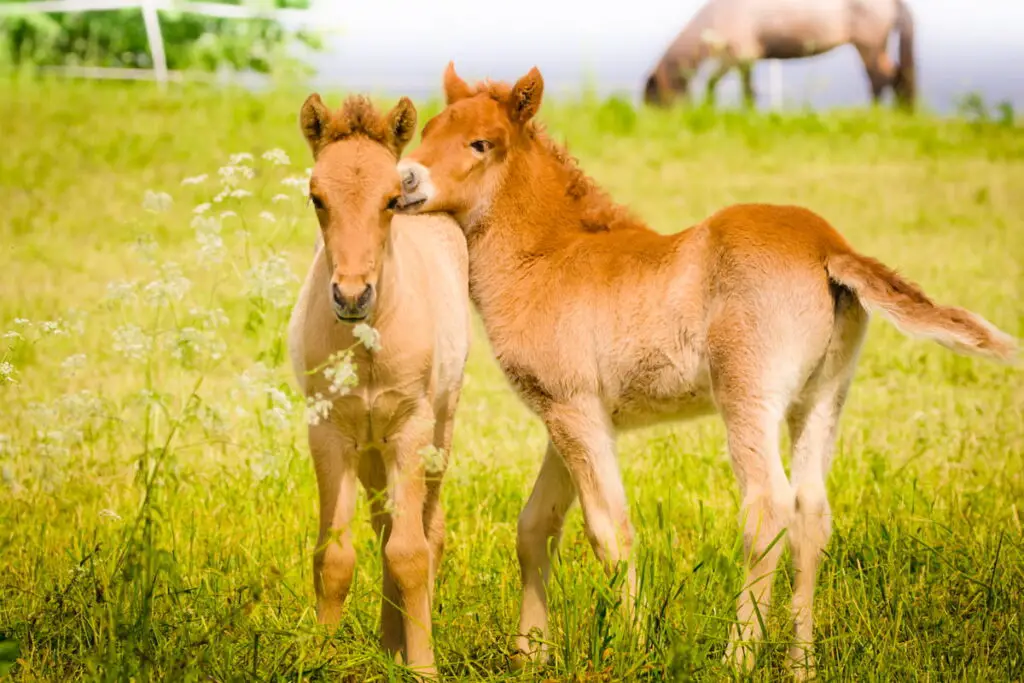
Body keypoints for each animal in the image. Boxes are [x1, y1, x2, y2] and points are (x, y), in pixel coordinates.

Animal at [284, 93, 468, 675]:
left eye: (390, 199)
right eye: (316, 196)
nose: (351, 295)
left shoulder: (410, 429)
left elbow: (411, 553)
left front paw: (424, 668)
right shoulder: (328, 434)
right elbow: (335, 555)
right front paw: (318, 660)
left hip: (437, 434)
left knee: (427, 530)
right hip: (369, 450)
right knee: (384, 524)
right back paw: (389, 643)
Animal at [393, 65, 1015, 679]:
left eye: (481, 143)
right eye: (429, 129)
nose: (404, 180)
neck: (549, 257)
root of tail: (828, 247)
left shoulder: (573, 410)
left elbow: (608, 530)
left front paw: (633, 650)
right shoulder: (567, 417)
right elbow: (535, 527)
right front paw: (530, 654)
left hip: (747, 394)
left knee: (768, 508)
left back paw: (737, 658)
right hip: (822, 399)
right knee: (812, 514)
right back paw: (802, 664)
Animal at [643, 0, 917, 108]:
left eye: (653, 99)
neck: (718, 17)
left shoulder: (737, 56)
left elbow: (713, 83)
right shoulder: (746, 61)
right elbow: (748, 90)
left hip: (868, 45)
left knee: (880, 77)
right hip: (876, 45)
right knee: (896, 76)